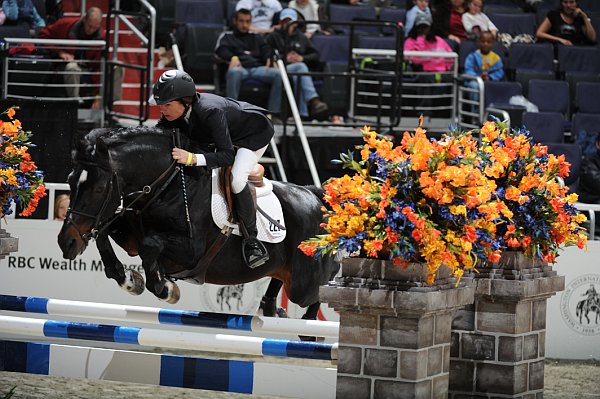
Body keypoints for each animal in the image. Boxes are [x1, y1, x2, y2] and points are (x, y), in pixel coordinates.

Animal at [58, 126, 340, 324]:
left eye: (98, 188)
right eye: (70, 180)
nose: (66, 242)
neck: (167, 185)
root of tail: (314, 197)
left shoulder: (191, 252)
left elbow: (151, 245)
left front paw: (166, 288)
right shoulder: (129, 234)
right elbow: (105, 234)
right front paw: (128, 279)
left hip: (303, 284)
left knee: (323, 283)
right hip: (286, 271)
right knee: (281, 280)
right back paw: (273, 307)